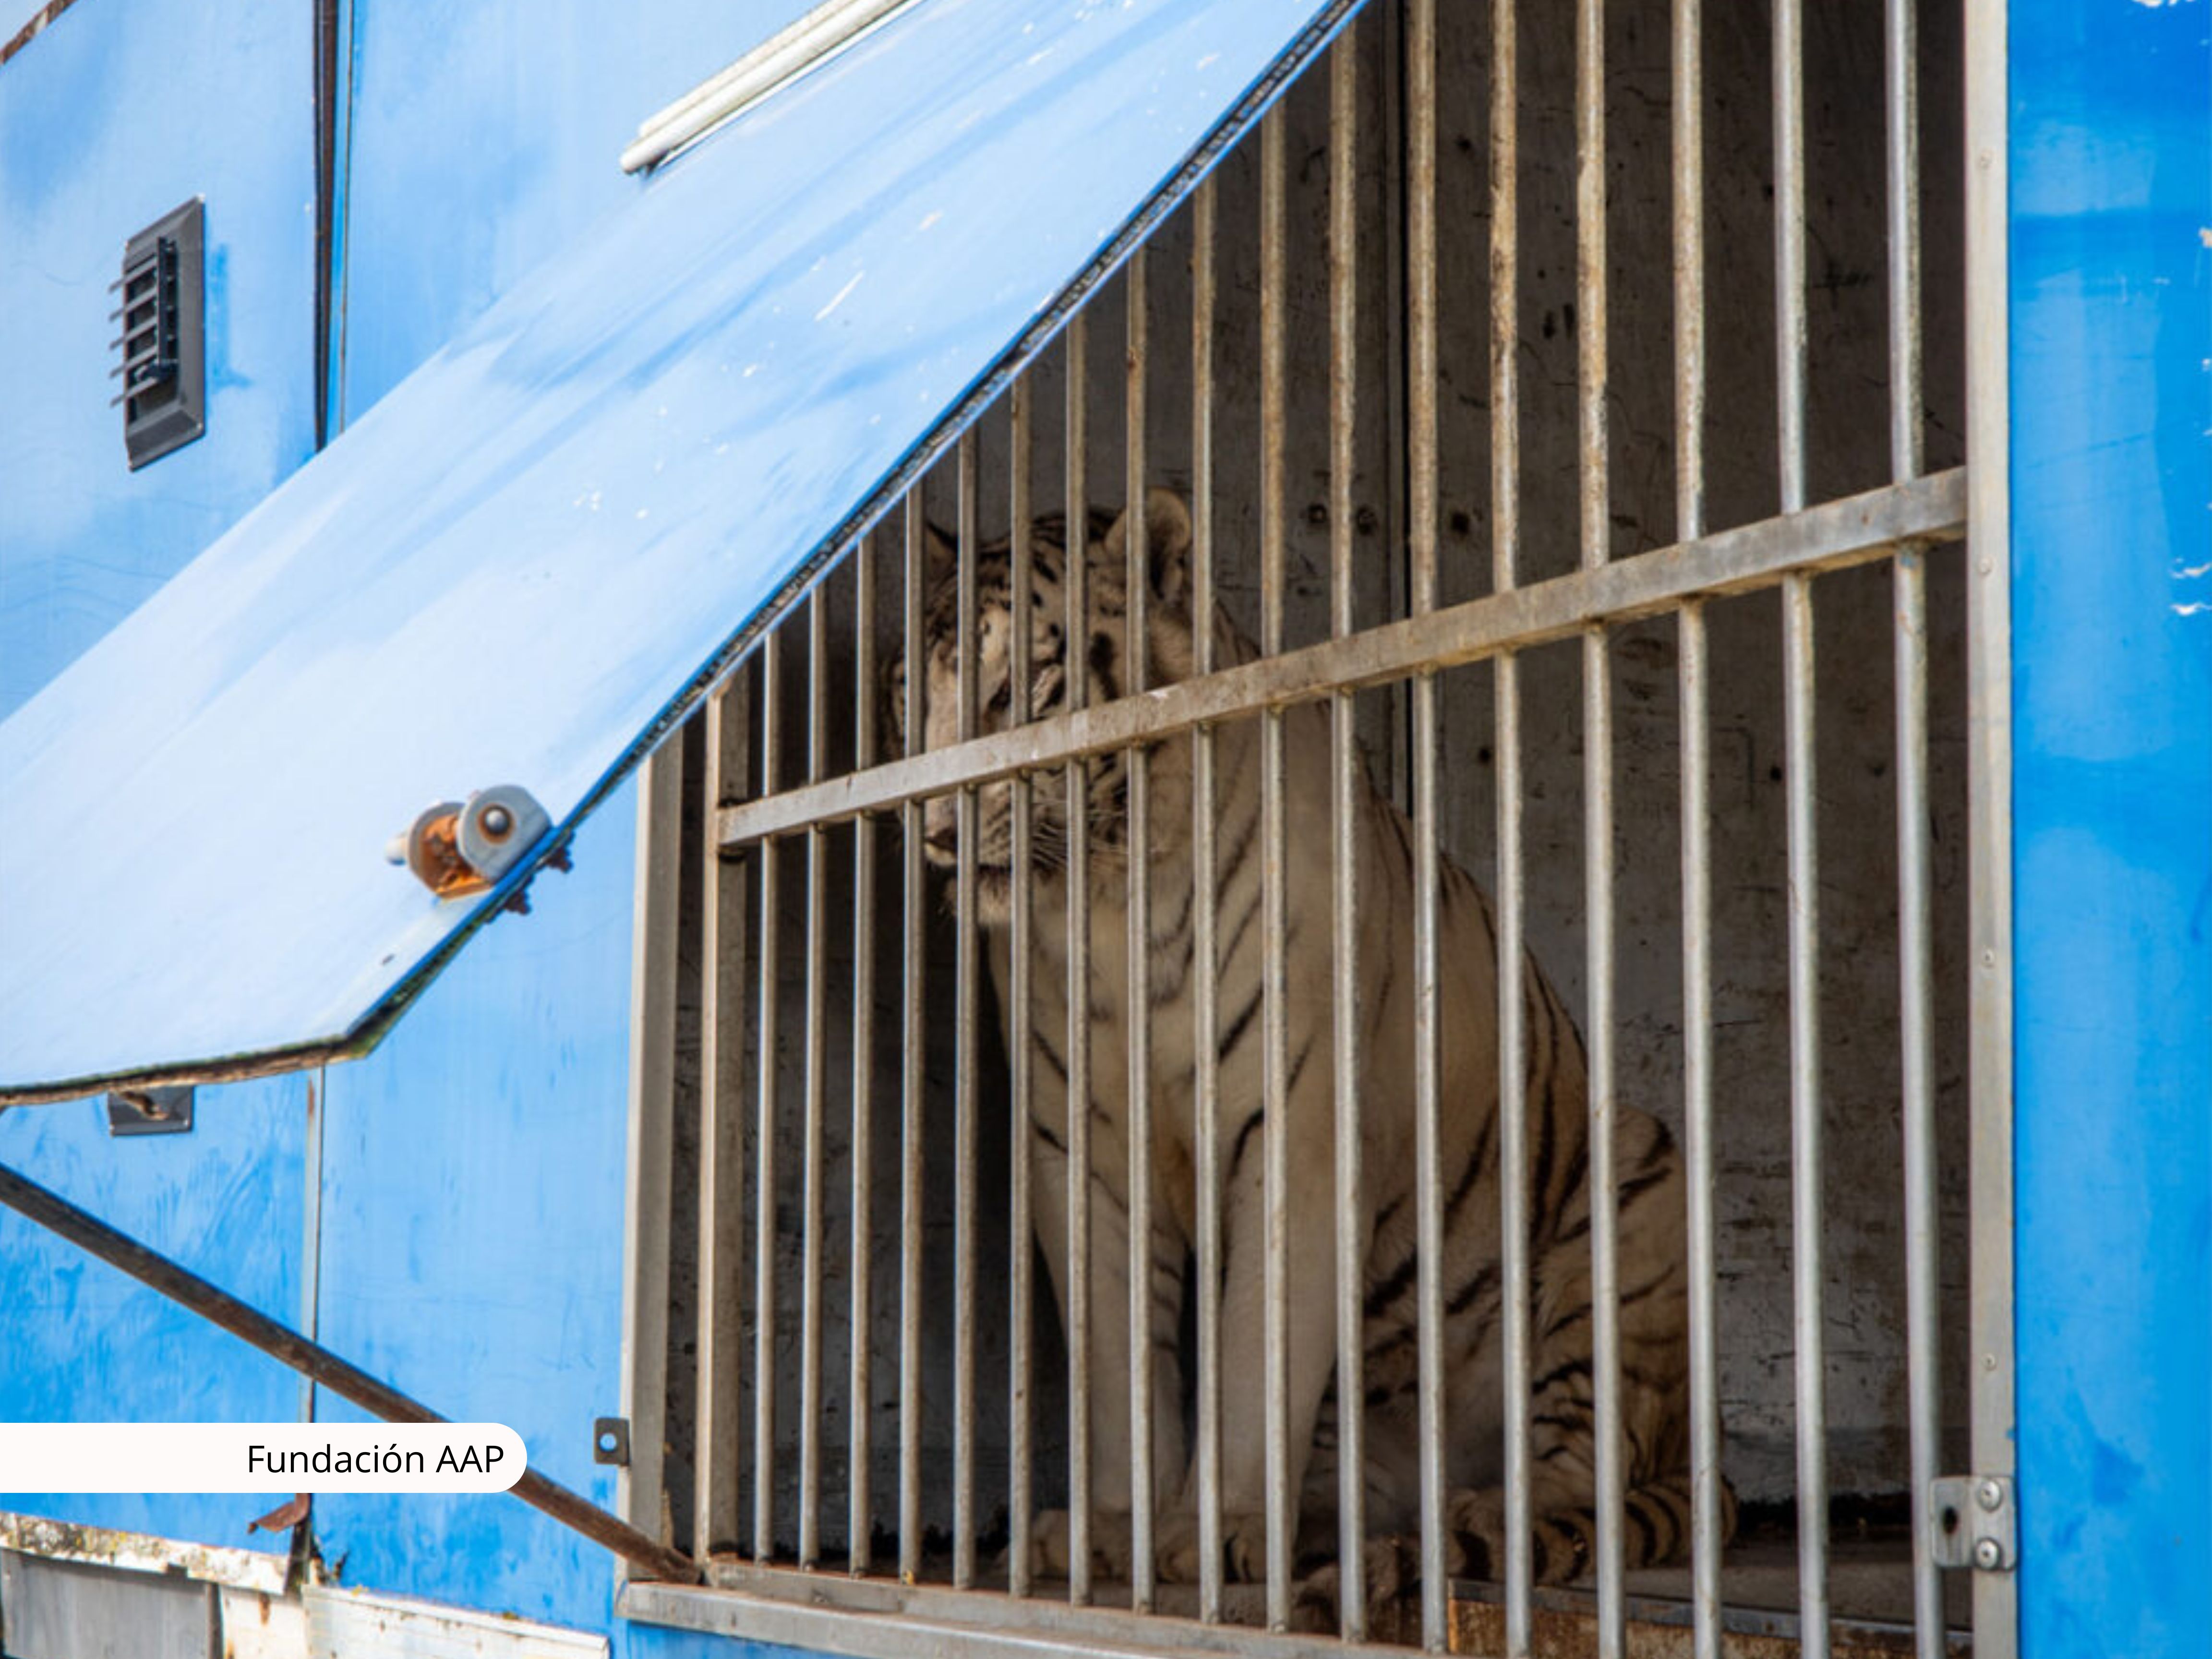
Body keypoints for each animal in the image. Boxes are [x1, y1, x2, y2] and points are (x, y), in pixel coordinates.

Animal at [884, 487, 1728, 1624]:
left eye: (1015, 688)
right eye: (910, 693)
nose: (933, 828)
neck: (1109, 894)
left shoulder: (1295, 1127)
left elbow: (1253, 1349)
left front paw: (1217, 1530)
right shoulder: (1082, 1151)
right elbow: (1116, 1362)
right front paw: (1111, 1529)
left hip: (1632, 1182)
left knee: (1581, 1473)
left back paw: (1481, 1513)